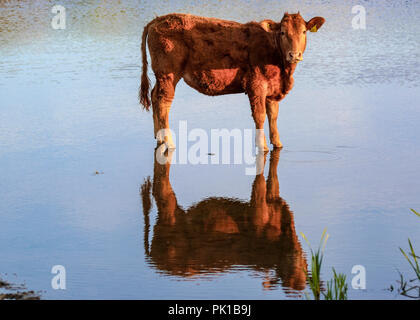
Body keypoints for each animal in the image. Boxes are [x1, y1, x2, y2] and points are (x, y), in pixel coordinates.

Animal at [139, 148, 306, 292]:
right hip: (169, 215)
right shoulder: (257, 210)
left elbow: (273, 177)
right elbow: (259, 181)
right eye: (288, 275)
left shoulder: (273, 197)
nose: (295, 256)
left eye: (304, 273)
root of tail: (154, 262)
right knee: (161, 188)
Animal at [140, 12, 324, 151]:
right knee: (163, 102)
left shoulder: (273, 89)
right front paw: (263, 146)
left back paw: (159, 137)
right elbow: (260, 116)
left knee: (154, 96)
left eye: (304, 32)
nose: (294, 55)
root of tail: (157, 20)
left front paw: (277, 144)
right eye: (283, 33)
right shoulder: (256, 85)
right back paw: (169, 142)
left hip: (162, 76)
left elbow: (273, 116)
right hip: (168, 75)